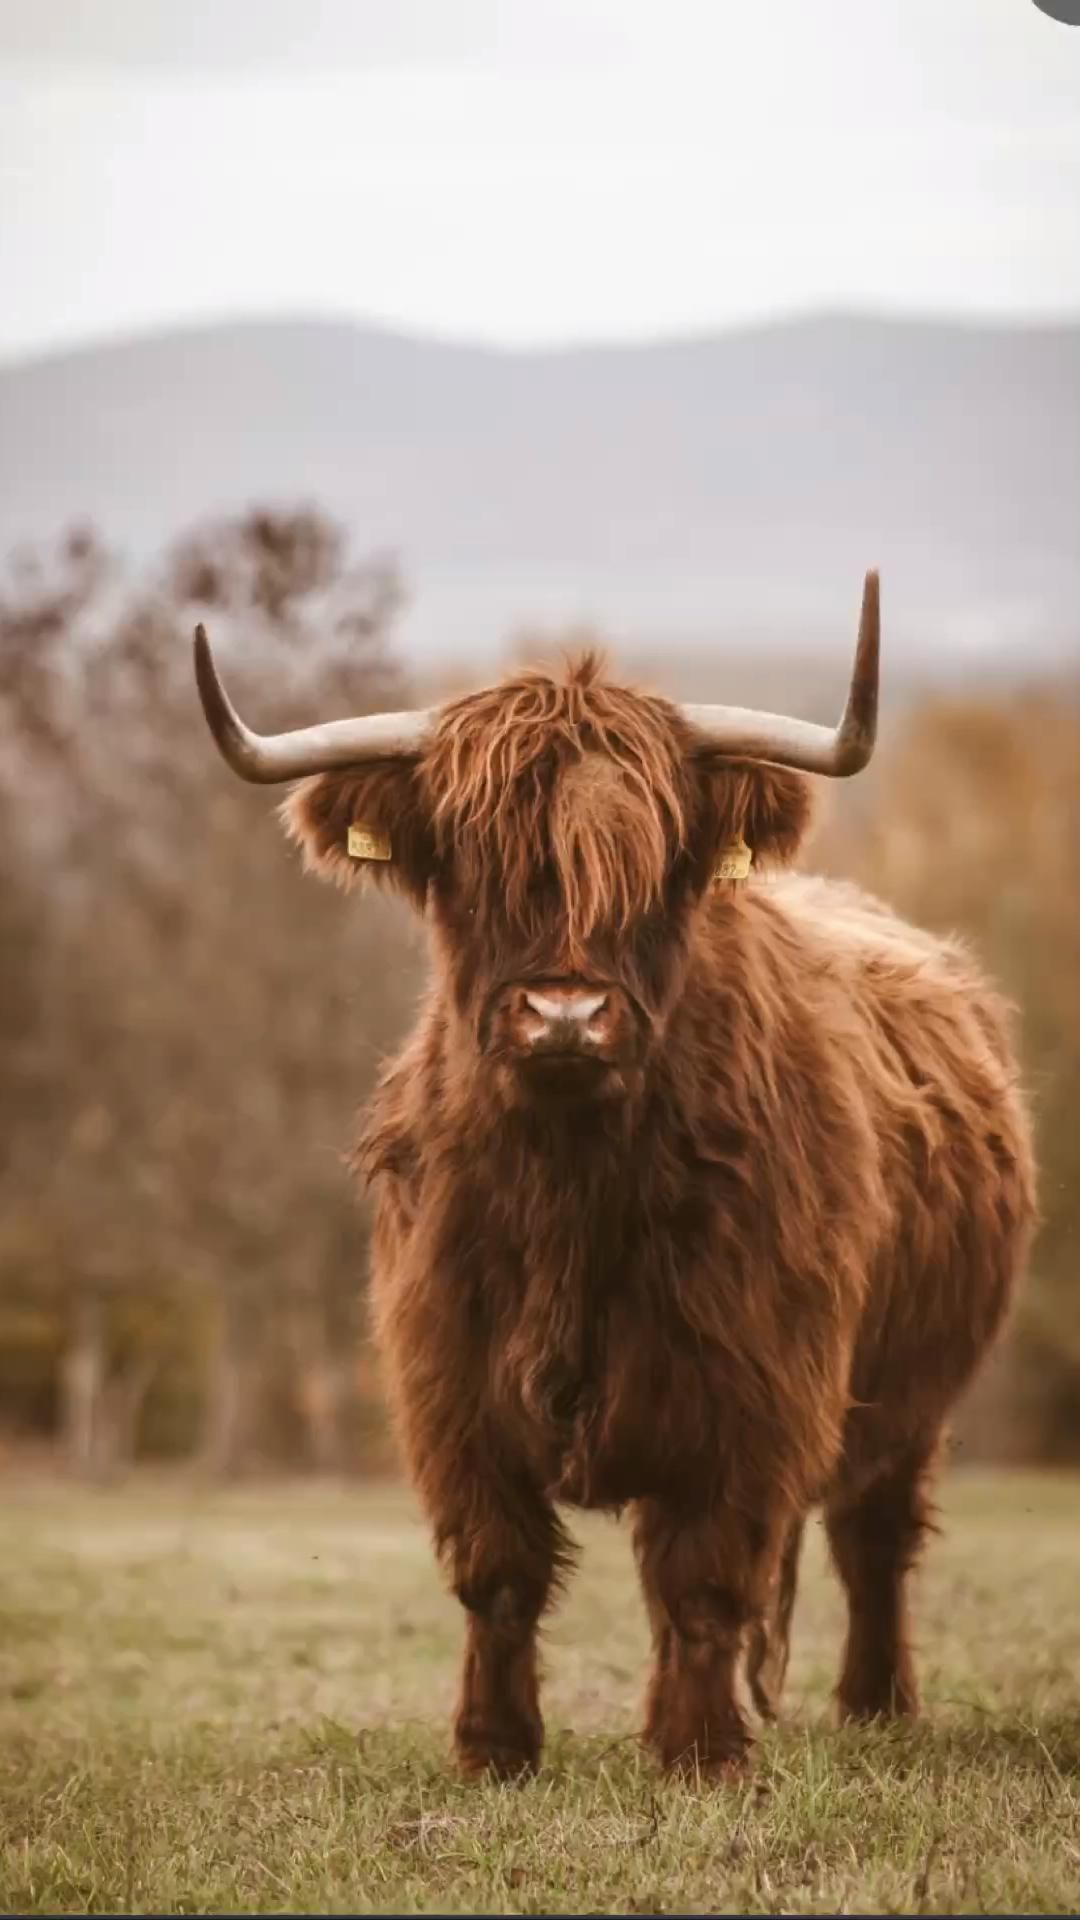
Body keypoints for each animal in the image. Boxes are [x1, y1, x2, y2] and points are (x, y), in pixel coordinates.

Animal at [193, 572, 1036, 1782]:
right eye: (471, 864)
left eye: (657, 866)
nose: (565, 1014)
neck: (569, 1185)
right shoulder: (449, 1378)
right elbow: (499, 1575)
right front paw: (494, 1751)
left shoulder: (751, 1382)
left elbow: (707, 1574)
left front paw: (700, 1754)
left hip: (911, 1393)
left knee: (871, 1537)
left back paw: (876, 1707)